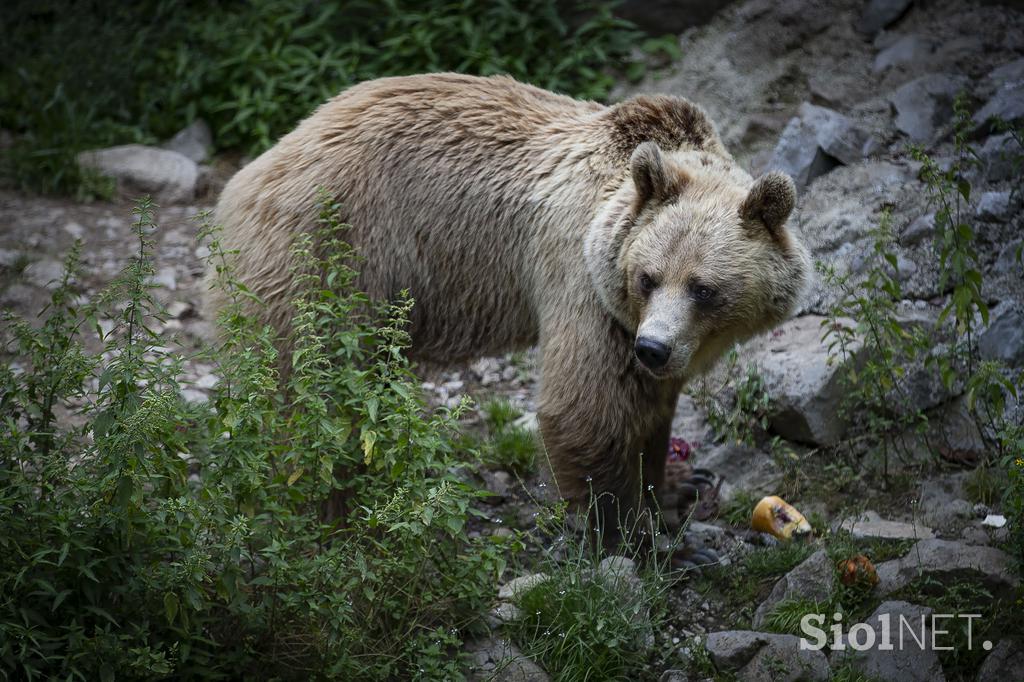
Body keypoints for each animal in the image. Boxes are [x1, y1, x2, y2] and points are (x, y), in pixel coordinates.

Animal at [205, 70, 806, 536]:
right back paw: (331, 505)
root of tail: (248, 178)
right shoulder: (583, 283)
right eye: (648, 277)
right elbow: (587, 410)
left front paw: (676, 483)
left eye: (703, 288)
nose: (653, 348)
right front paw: (640, 534)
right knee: (316, 393)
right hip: (333, 256)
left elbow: (651, 411)